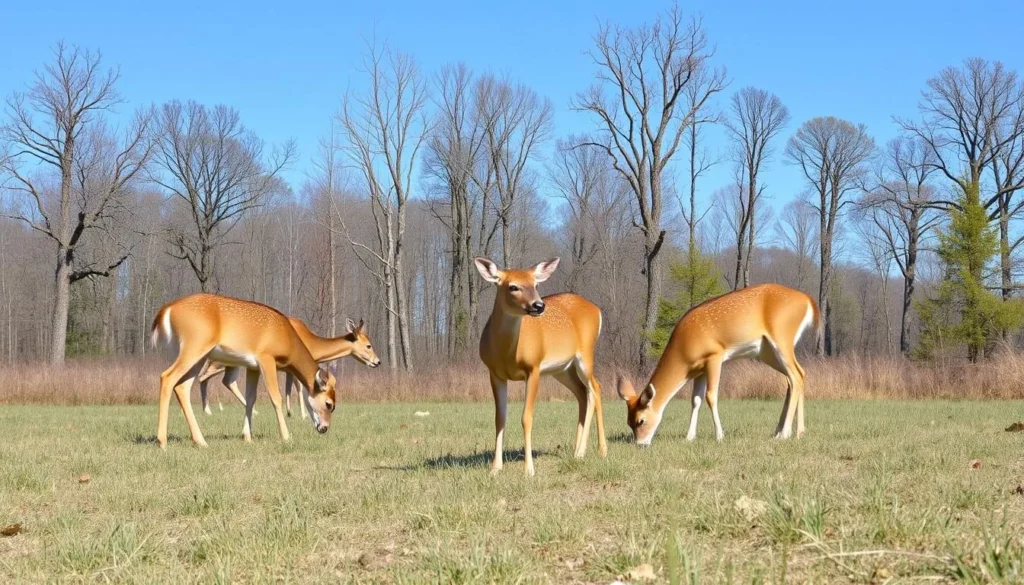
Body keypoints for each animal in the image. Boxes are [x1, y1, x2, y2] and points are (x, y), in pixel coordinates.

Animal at [149, 293, 337, 448]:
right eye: (329, 404)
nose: (324, 428)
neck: (287, 337)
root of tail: (167, 310)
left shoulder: (252, 367)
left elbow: (251, 398)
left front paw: (247, 437)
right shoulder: (266, 358)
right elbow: (276, 398)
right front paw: (286, 436)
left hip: (196, 356)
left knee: (182, 387)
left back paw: (200, 441)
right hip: (194, 346)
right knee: (167, 377)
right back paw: (162, 441)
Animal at [197, 317, 380, 418]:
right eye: (369, 345)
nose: (377, 362)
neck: (311, 344)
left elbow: (289, 388)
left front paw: (291, 412)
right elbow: (298, 387)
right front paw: (302, 414)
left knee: (219, 380)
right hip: (223, 361)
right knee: (208, 377)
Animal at [475, 257, 607, 476]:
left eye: (536, 284)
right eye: (513, 287)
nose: (538, 305)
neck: (507, 353)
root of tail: (597, 310)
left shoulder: (534, 368)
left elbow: (526, 417)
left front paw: (529, 470)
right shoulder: (495, 373)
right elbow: (499, 419)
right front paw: (495, 468)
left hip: (586, 354)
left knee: (595, 388)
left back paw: (600, 451)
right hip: (563, 369)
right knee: (583, 393)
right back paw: (577, 452)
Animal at [616, 283, 821, 447]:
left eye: (641, 421)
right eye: (627, 422)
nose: (640, 444)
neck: (684, 350)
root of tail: (808, 301)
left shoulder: (714, 356)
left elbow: (711, 396)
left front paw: (719, 436)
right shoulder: (698, 370)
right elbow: (695, 400)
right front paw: (689, 437)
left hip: (782, 339)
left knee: (796, 376)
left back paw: (785, 433)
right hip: (767, 353)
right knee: (796, 377)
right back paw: (793, 432)